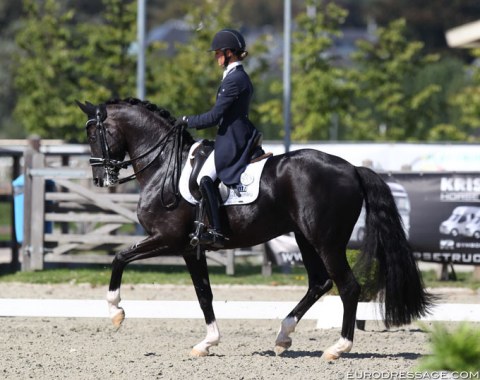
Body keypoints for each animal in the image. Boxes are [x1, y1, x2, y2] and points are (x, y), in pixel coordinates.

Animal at [76, 97, 432, 360]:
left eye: (93, 135)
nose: (99, 178)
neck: (164, 166)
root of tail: (353, 168)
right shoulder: (191, 249)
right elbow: (204, 294)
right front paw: (207, 343)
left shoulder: (167, 239)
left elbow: (119, 258)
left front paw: (116, 311)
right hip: (305, 237)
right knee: (319, 283)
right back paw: (283, 336)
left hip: (326, 240)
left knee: (348, 286)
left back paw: (337, 348)